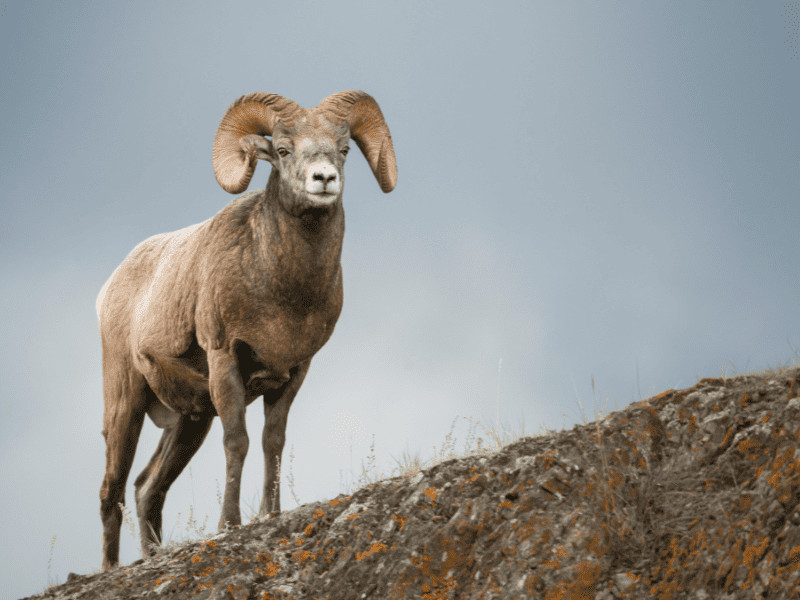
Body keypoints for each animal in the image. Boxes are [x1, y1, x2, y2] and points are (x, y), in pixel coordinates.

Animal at [96, 91, 397, 569]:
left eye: (344, 150)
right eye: (283, 150)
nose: (324, 179)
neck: (281, 291)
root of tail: (109, 289)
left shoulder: (293, 373)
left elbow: (273, 441)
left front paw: (269, 515)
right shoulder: (225, 363)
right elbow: (237, 442)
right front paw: (230, 525)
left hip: (190, 421)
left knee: (148, 488)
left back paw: (151, 556)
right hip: (126, 402)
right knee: (114, 490)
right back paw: (111, 568)